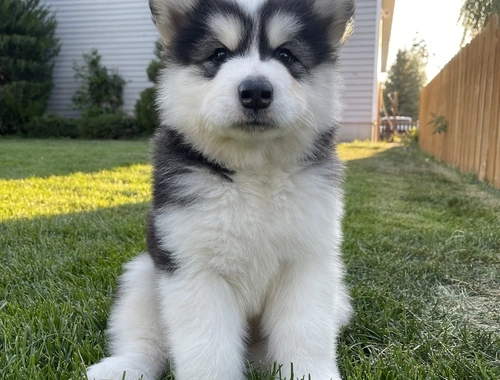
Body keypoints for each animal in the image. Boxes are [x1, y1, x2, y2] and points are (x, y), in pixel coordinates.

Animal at [87, 0, 352, 380]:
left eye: (286, 54)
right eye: (219, 53)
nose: (255, 92)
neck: (253, 172)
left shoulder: (308, 262)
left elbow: (305, 332)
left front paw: (310, 373)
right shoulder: (194, 268)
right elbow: (208, 347)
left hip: (340, 298)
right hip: (142, 277)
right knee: (148, 341)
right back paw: (125, 366)